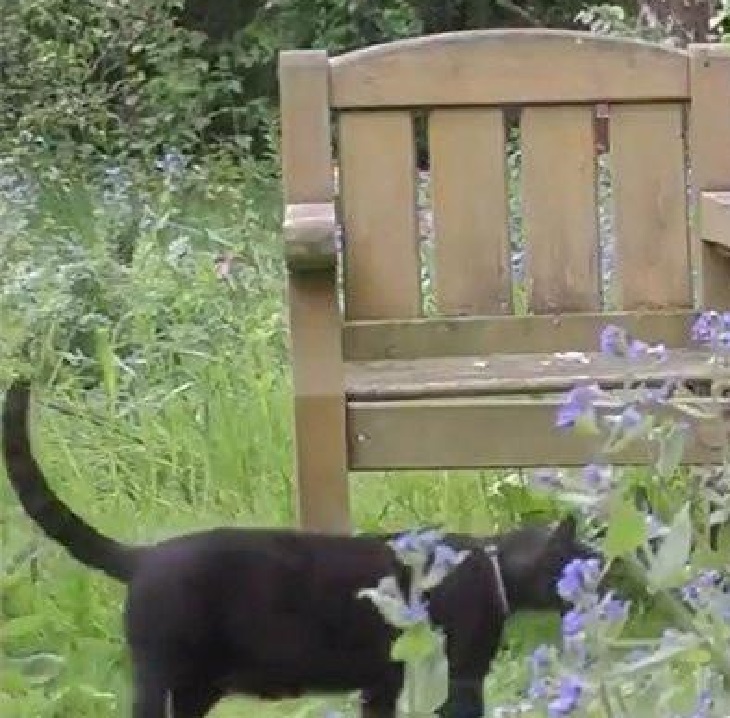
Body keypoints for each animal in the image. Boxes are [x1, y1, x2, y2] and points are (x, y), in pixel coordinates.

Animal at [2, 380, 596, 716]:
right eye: (588, 564)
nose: (610, 578)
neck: (493, 565)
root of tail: (144, 556)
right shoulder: (460, 675)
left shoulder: (382, 685)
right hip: (165, 680)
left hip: (195, 690)